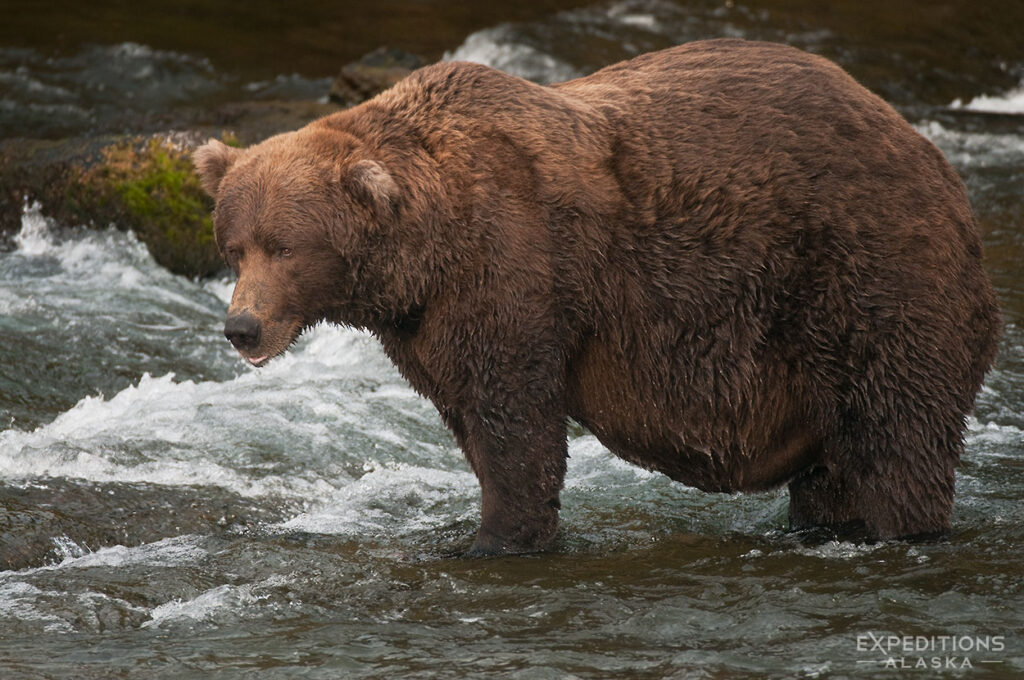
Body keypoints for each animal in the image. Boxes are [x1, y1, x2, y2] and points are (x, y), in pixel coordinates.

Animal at [193, 39, 1000, 555]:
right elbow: (473, 418)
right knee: (835, 468)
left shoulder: (514, 269)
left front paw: (494, 539)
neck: (422, 256)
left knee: (899, 438)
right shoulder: (432, 327)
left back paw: (905, 530)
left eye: (286, 246)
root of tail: (935, 160)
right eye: (234, 245)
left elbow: (516, 424)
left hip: (872, 282)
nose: (243, 326)